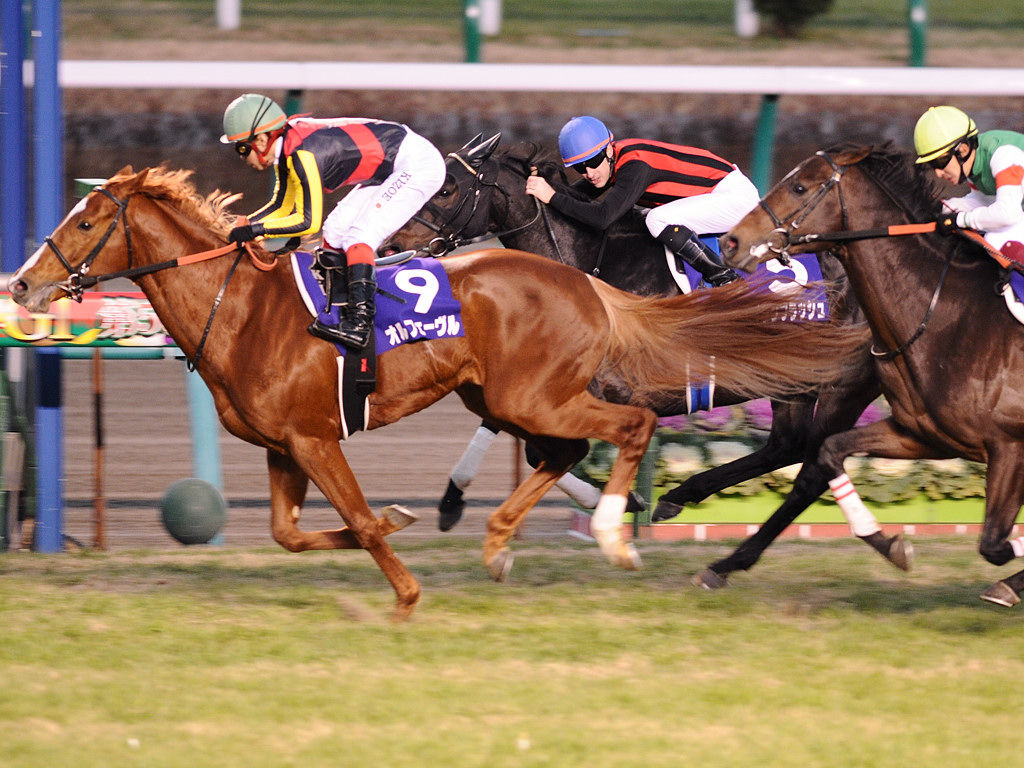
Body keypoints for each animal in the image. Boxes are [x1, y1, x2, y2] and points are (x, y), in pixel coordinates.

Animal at [8, 166, 866, 618]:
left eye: (84, 223)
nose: (22, 282)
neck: (243, 307)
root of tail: (584, 285)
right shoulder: (284, 443)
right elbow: (291, 534)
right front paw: (407, 518)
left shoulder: (315, 437)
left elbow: (354, 517)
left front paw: (405, 591)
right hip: (506, 395)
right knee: (569, 451)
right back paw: (505, 540)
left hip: (541, 395)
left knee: (631, 430)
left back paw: (620, 534)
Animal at [384, 134, 909, 570]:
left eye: (447, 189)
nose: (393, 243)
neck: (586, 261)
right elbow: (511, 431)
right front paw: (452, 500)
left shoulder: (597, 386)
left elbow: (540, 446)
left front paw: (618, 504)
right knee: (789, 444)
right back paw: (681, 496)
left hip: (825, 377)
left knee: (806, 449)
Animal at [719, 143, 1024, 606]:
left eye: (800, 186)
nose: (730, 241)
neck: (947, 318)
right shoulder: (926, 435)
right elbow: (829, 452)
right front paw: (891, 544)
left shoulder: (1009, 447)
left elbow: (993, 543)